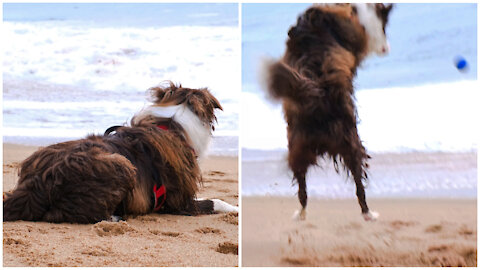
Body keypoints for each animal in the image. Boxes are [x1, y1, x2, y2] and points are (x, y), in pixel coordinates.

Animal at [2, 82, 237, 224]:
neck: (171, 124)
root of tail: (36, 185)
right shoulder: (180, 202)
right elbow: (216, 201)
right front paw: (235, 208)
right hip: (122, 164)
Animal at [264, 3, 392, 220]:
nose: (385, 49)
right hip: (353, 145)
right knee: (359, 186)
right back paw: (368, 214)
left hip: (298, 148)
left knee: (302, 189)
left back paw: (301, 214)